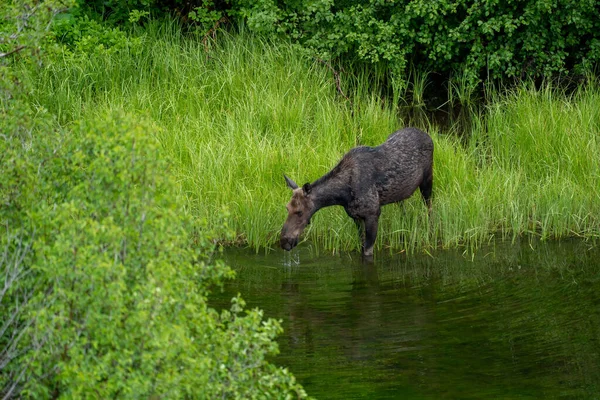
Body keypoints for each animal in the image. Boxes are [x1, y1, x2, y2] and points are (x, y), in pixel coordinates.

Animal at [278, 127, 434, 256]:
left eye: (299, 212)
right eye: (287, 208)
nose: (284, 242)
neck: (342, 196)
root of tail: (428, 136)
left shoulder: (373, 214)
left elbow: (367, 252)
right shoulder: (356, 217)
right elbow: (361, 245)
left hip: (427, 181)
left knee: (429, 208)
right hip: (401, 194)